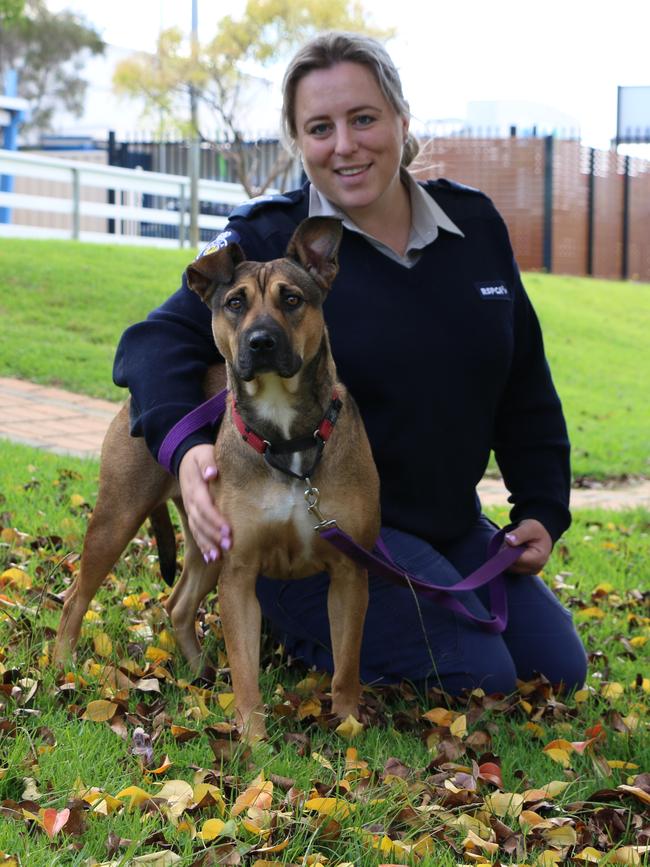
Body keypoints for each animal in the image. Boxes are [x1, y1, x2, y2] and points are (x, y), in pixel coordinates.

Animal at [57, 217, 380, 740]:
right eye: (235, 303)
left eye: (293, 299)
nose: (261, 341)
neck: (284, 435)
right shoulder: (240, 574)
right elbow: (246, 669)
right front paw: (253, 741)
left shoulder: (350, 573)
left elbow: (347, 663)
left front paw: (349, 725)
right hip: (117, 518)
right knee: (75, 597)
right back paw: (63, 667)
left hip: (204, 546)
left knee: (178, 606)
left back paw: (199, 674)